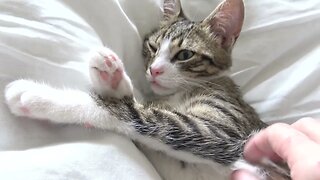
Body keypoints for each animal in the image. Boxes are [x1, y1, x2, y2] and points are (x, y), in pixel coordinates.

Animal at [4, 0, 290, 179]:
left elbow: (138, 115)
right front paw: (112, 79)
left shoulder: (225, 134)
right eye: (152, 47)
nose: (154, 70)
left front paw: (43, 98)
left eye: (185, 54)